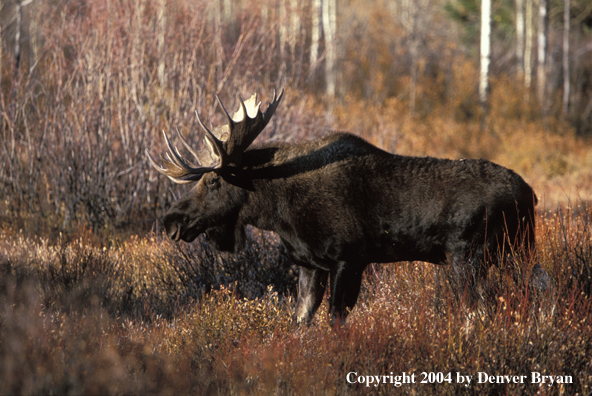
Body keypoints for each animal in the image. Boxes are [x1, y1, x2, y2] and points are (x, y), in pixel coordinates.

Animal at [147, 91, 544, 326]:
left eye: (213, 181)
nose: (171, 221)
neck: (279, 213)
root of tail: (530, 194)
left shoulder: (348, 258)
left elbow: (335, 322)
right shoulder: (309, 264)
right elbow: (300, 323)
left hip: (470, 255)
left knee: (479, 310)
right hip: (518, 249)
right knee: (542, 287)